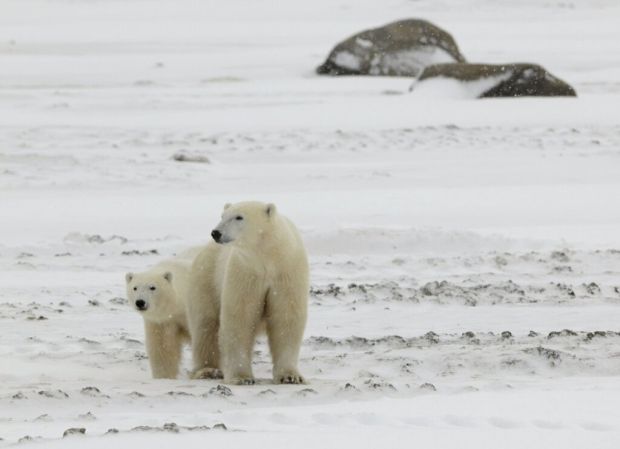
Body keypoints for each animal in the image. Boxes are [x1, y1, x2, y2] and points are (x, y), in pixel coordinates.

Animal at [186, 201, 308, 384]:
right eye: (222, 216)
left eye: (239, 217)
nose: (216, 233)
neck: (267, 257)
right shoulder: (245, 272)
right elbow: (240, 317)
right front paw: (241, 377)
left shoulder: (286, 273)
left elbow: (286, 317)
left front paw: (290, 376)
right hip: (206, 281)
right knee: (205, 326)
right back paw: (208, 370)